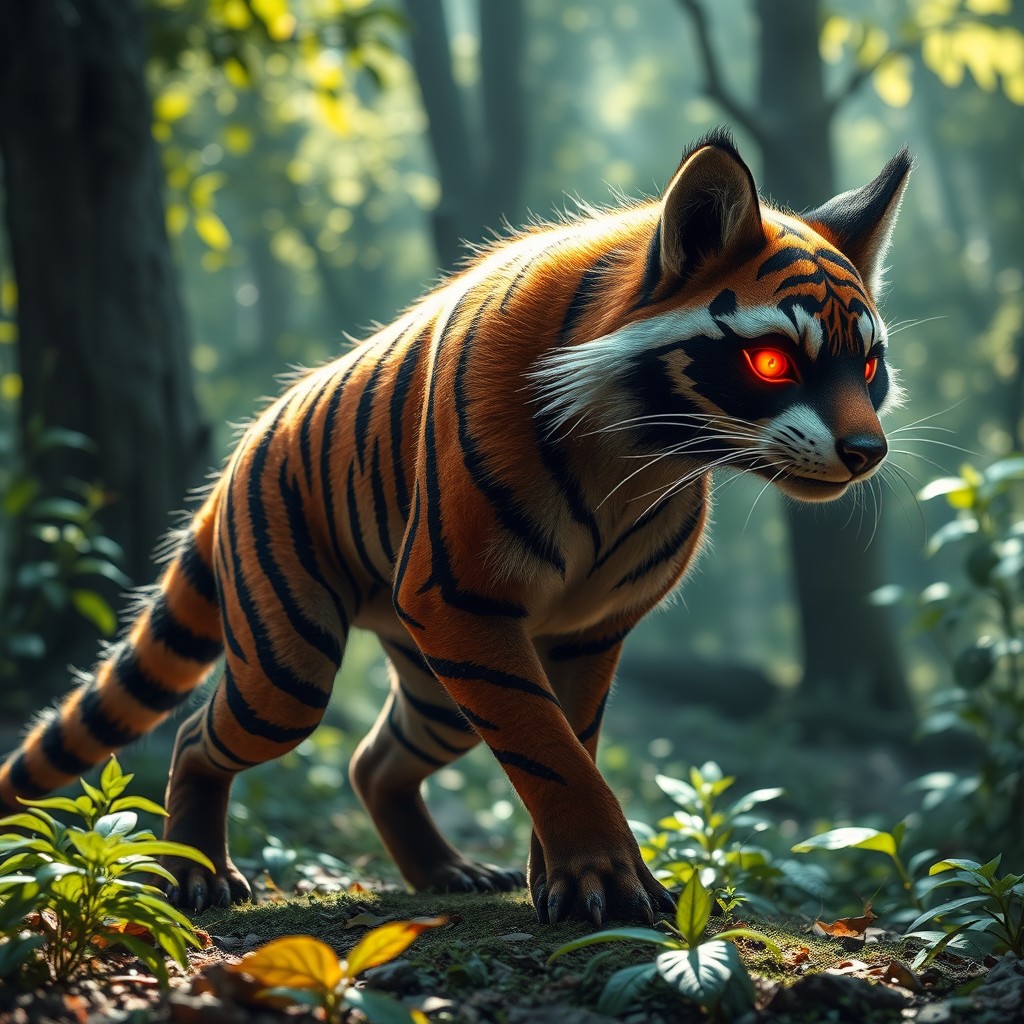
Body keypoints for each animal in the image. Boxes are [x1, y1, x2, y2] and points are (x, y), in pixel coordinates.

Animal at [0, 129, 911, 925]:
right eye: (774, 362)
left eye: (868, 364)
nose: (866, 451)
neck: (640, 454)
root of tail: (242, 451)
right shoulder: (459, 596)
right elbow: (549, 751)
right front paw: (606, 887)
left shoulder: (585, 627)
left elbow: (570, 740)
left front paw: (564, 883)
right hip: (290, 667)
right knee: (196, 733)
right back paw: (198, 877)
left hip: (435, 687)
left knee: (372, 761)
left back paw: (446, 873)